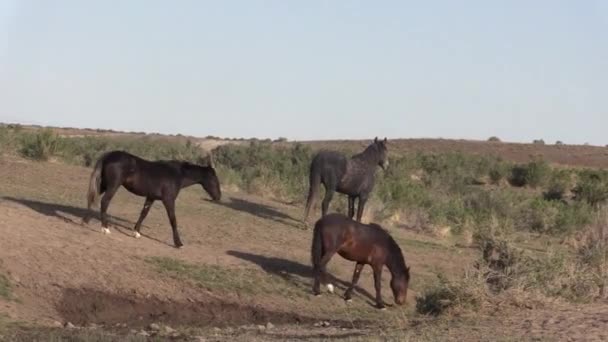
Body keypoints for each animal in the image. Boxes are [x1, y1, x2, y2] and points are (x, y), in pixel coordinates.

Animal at [82, 151, 221, 247]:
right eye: (214, 179)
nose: (218, 197)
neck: (177, 174)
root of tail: (109, 155)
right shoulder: (168, 200)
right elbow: (173, 219)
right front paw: (178, 243)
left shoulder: (151, 197)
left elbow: (144, 214)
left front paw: (136, 233)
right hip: (113, 186)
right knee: (104, 201)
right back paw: (105, 229)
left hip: (103, 184)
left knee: (91, 197)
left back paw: (86, 220)